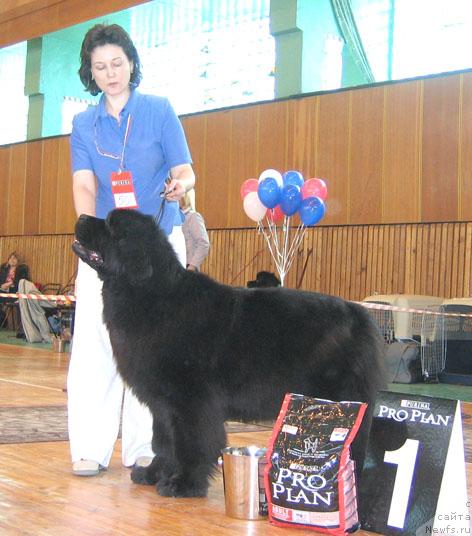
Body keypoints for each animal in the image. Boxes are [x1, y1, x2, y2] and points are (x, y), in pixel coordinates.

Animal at [72, 209, 386, 498]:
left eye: (110, 224)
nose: (82, 216)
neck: (150, 294)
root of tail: (358, 313)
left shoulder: (191, 400)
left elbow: (192, 442)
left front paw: (184, 483)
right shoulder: (162, 402)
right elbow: (163, 440)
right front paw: (153, 473)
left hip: (342, 400)